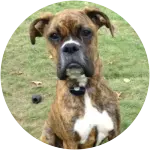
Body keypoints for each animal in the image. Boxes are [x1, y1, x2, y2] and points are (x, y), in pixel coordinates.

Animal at [29, 6, 120, 150]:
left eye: (86, 32)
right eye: (54, 36)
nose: (70, 47)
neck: (84, 88)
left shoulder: (114, 132)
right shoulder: (71, 142)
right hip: (47, 136)